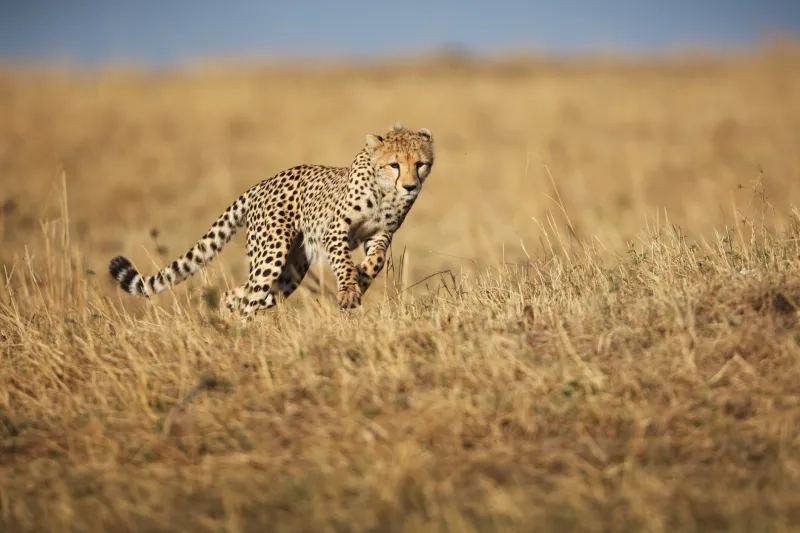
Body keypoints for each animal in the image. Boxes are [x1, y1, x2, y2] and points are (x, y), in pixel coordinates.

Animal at [108, 123, 435, 320]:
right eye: (394, 164)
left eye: (420, 164)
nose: (410, 186)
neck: (385, 192)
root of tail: (261, 184)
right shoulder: (335, 230)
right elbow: (342, 261)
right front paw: (348, 289)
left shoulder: (381, 233)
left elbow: (376, 260)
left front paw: (361, 277)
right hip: (272, 254)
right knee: (249, 298)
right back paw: (242, 336)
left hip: (290, 272)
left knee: (237, 295)